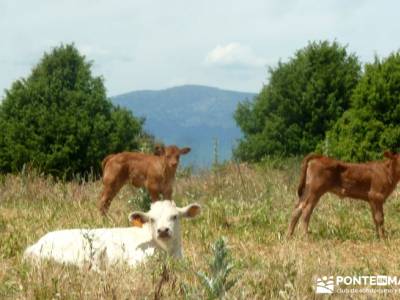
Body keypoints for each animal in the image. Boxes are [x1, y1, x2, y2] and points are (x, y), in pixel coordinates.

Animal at [23, 200, 202, 270]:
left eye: (175, 216)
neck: (167, 251)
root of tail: (36, 244)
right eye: (152, 219)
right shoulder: (136, 262)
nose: (163, 230)